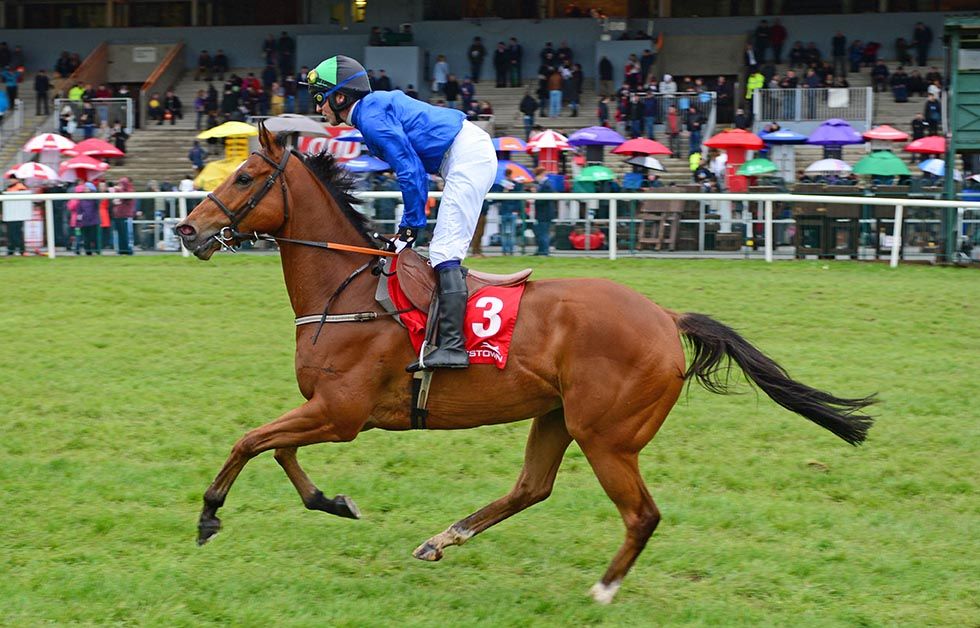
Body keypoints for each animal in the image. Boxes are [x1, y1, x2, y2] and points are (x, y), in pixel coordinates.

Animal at [174, 127, 872, 604]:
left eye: (244, 178)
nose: (186, 229)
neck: (346, 293)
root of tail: (666, 317)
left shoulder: (341, 413)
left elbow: (251, 441)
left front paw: (210, 514)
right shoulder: (327, 409)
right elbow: (279, 450)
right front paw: (332, 501)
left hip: (606, 435)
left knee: (640, 515)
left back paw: (602, 591)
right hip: (557, 416)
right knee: (532, 488)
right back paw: (442, 540)